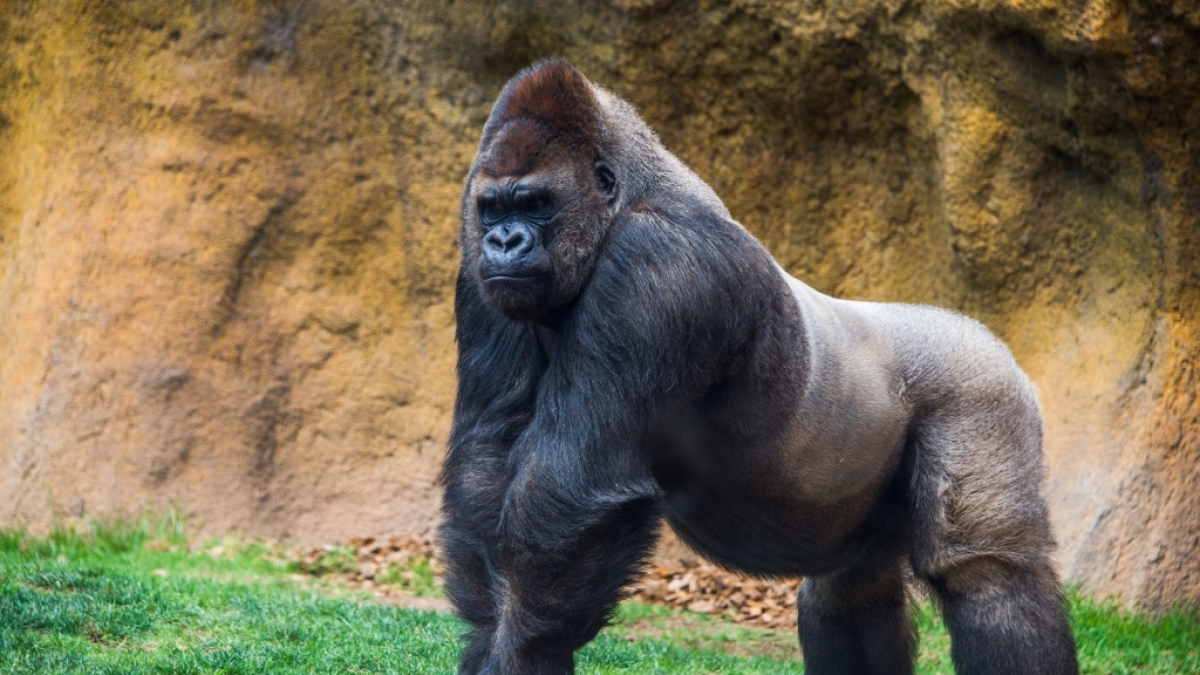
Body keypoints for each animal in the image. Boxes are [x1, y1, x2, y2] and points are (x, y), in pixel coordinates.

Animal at [439, 59, 1079, 675]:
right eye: (493, 208)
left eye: (537, 204)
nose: (504, 241)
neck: (625, 199)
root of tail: (983, 334)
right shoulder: (480, 278)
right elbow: (485, 465)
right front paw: (488, 638)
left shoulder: (660, 263)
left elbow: (575, 487)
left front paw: (523, 652)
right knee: (850, 587)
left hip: (982, 389)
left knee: (987, 574)